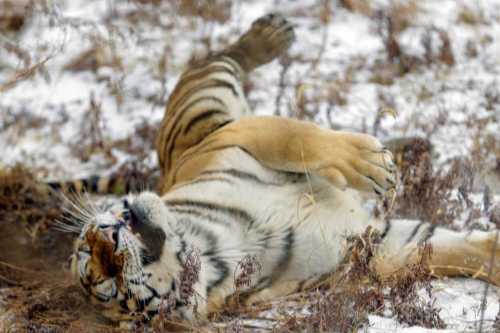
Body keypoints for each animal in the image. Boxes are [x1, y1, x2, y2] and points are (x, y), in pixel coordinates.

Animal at [66, 13, 500, 326]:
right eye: (108, 283)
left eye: (87, 247)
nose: (105, 233)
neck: (217, 248)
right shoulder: (365, 247)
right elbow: (445, 250)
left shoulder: (238, 138)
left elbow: (300, 138)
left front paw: (373, 164)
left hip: (204, 106)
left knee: (216, 61)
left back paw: (272, 33)